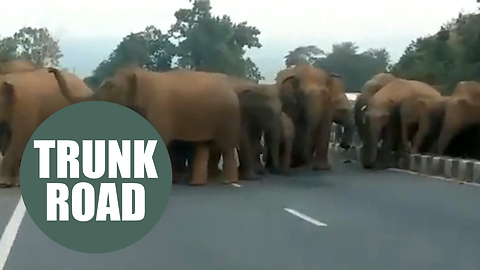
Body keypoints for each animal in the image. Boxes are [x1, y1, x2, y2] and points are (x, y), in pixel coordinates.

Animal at [48, 66, 240, 187]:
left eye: (111, 87)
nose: (50, 69)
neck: (140, 73)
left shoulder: (159, 110)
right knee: (202, 145)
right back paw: (197, 184)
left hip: (227, 118)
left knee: (225, 147)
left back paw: (228, 182)